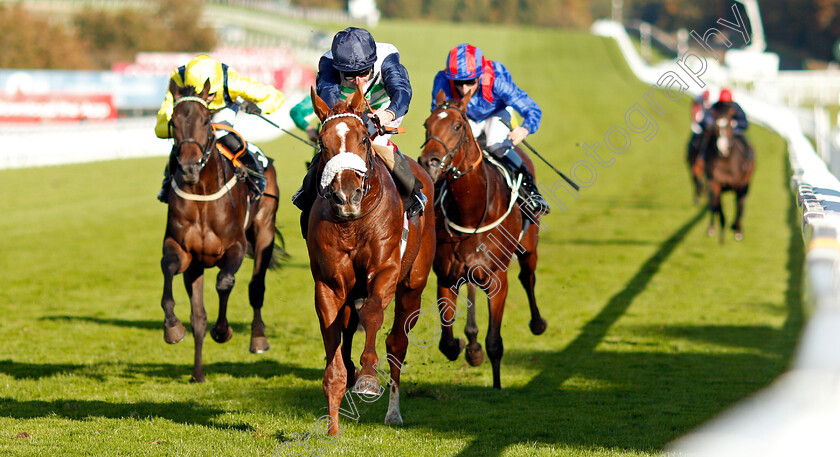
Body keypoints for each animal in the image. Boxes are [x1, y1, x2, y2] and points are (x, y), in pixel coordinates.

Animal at [156, 79, 278, 382]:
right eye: (173, 122)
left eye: (204, 120)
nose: (188, 168)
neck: (202, 191)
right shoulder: (184, 251)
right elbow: (169, 270)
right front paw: (172, 327)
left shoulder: (235, 246)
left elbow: (224, 282)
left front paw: (223, 331)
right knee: (198, 317)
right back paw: (198, 373)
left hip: (265, 229)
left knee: (256, 286)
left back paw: (258, 339)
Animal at [306, 87, 436, 432]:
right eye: (322, 143)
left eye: (364, 138)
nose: (346, 195)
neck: (353, 224)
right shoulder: (328, 283)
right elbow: (333, 339)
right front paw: (333, 424)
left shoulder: (385, 270)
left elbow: (374, 313)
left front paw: (366, 377)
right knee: (349, 324)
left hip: (413, 285)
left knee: (397, 342)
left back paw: (393, 412)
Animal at [416, 90, 548, 388]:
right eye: (427, 124)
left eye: (457, 126)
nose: (429, 162)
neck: (470, 212)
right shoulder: (447, 276)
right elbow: (447, 343)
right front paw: (467, 346)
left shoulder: (498, 279)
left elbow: (494, 342)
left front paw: (497, 385)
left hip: (529, 246)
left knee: (528, 277)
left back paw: (538, 323)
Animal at [704, 104, 756, 242]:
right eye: (715, 127)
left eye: (728, 126)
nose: (723, 148)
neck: (725, 162)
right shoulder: (715, 183)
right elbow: (716, 204)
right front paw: (718, 226)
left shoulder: (740, 185)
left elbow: (739, 204)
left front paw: (738, 231)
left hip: (746, 182)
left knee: (741, 202)